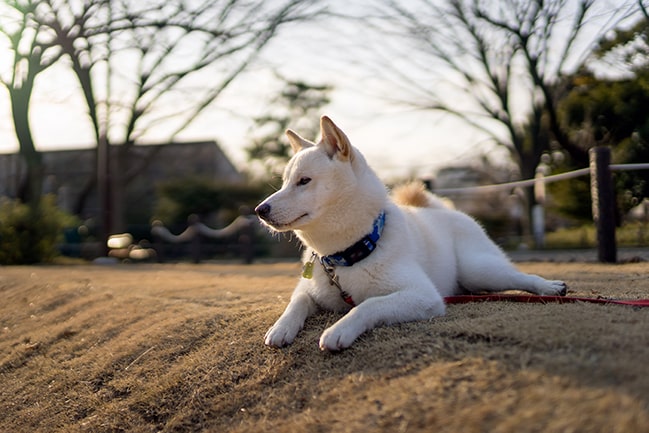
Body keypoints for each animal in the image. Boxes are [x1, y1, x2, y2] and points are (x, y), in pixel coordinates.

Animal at [254, 115, 568, 352]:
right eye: (284, 183)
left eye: (304, 181)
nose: (260, 209)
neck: (346, 255)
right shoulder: (311, 290)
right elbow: (296, 302)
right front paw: (280, 328)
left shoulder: (422, 295)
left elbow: (368, 305)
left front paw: (339, 329)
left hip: (479, 269)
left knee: (519, 277)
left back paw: (550, 287)